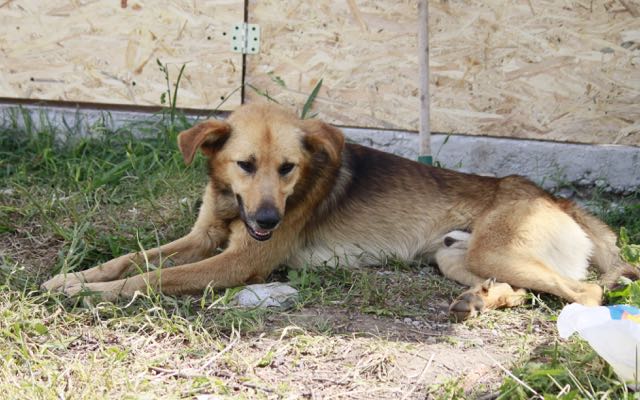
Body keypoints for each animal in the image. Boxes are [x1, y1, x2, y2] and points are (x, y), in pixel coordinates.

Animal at [43, 102, 636, 318]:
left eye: (287, 169)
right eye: (244, 165)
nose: (268, 222)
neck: (236, 206)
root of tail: (553, 196)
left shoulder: (239, 262)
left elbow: (153, 278)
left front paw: (88, 294)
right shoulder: (205, 237)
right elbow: (132, 258)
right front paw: (71, 277)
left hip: (497, 250)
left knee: (584, 292)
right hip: (457, 256)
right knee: (521, 289)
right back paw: (479, 301)